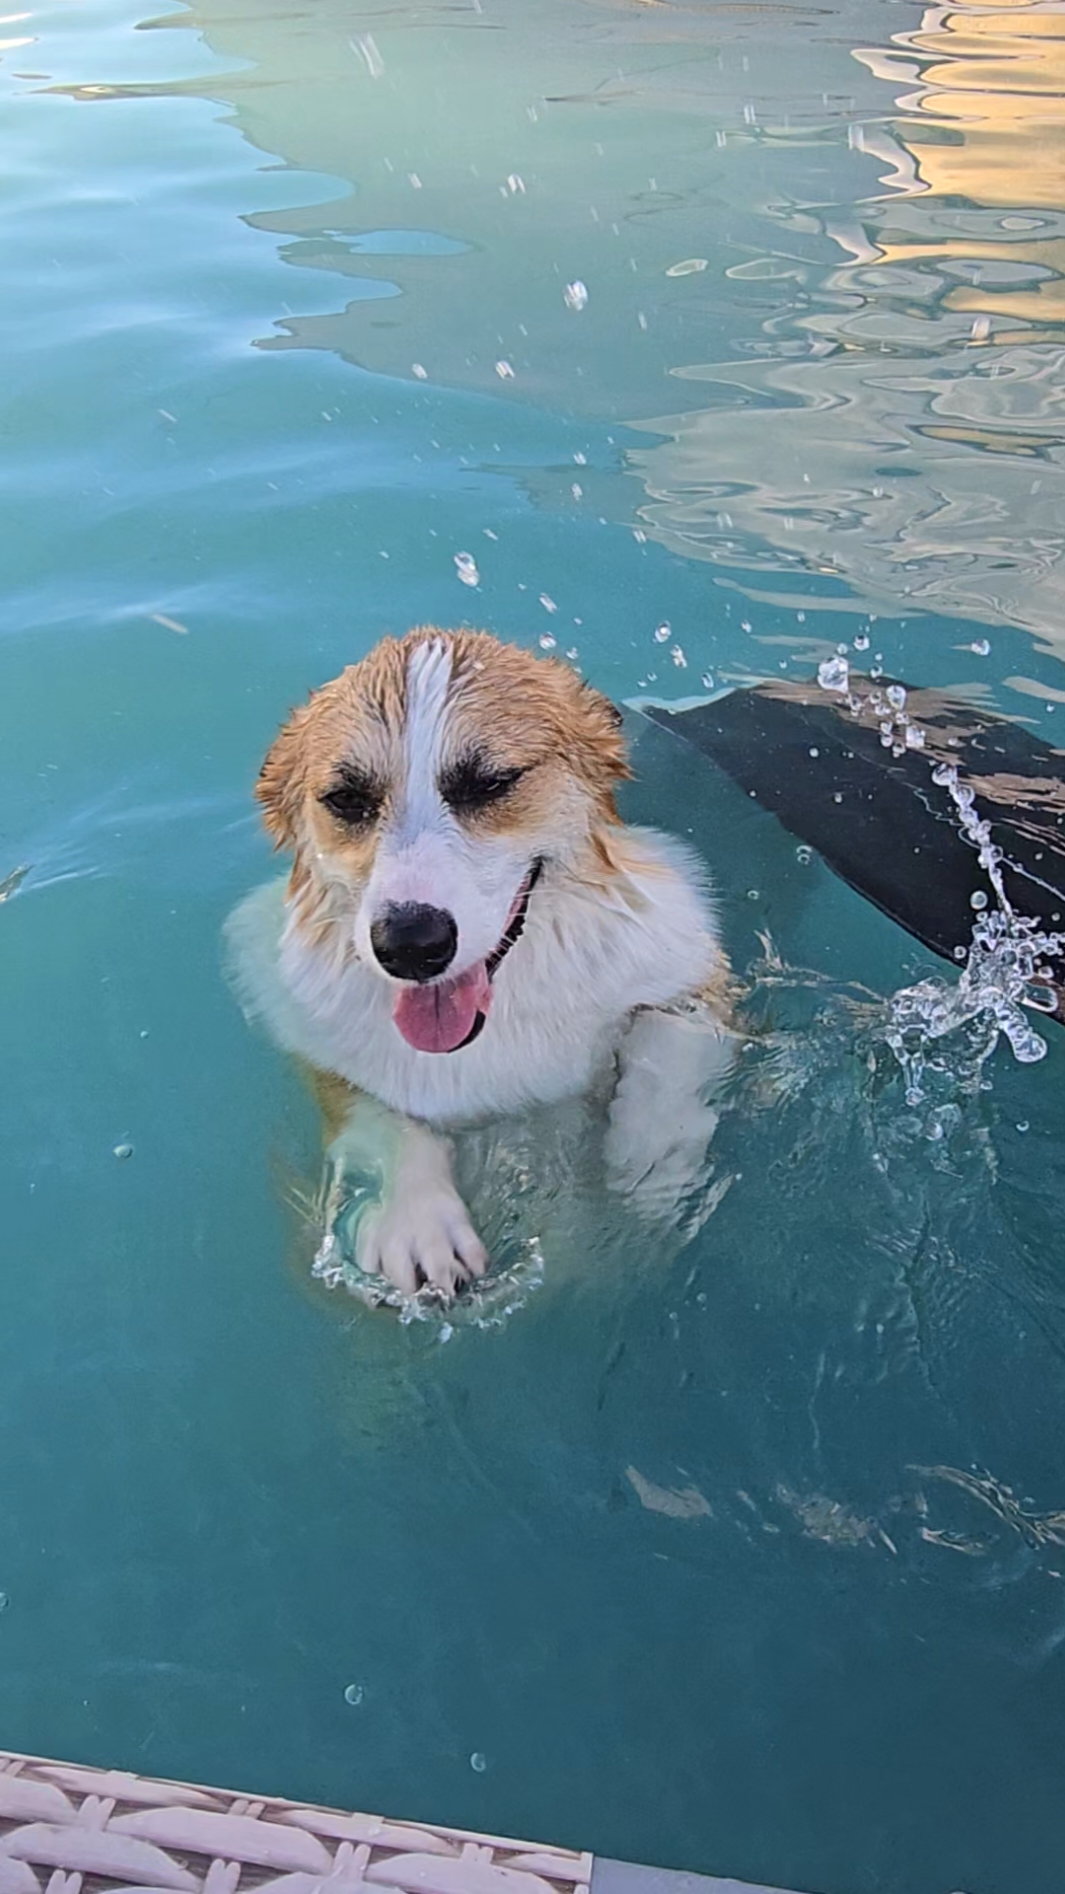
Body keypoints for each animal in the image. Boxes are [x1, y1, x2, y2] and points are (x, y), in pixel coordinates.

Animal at [228, 632, 735, 1303]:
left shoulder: (693, 974)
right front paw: (414, 1217)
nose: (410, 944)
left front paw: (653, 1156)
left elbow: (669, 1049)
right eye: (347, 800)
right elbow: (375, 1112)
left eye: (491, 783)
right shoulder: (318, 1044)